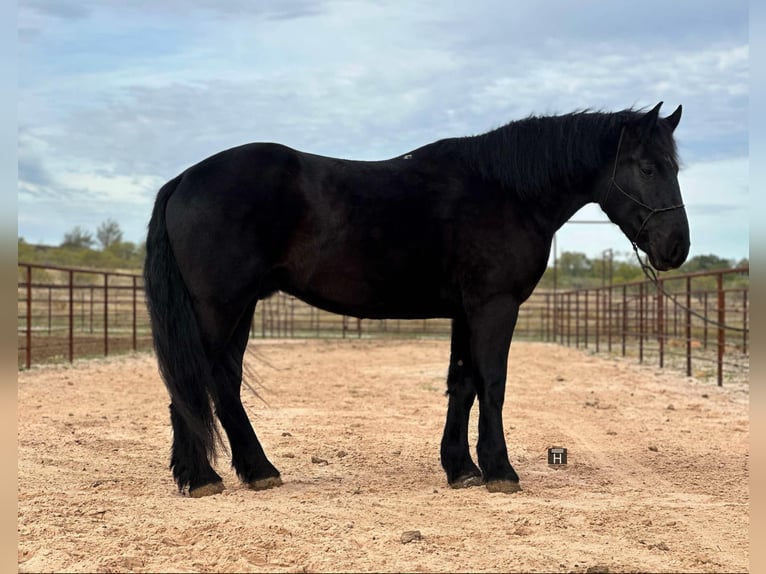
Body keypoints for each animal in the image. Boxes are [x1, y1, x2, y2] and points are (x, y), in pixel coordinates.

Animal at [144, 102, 689, 497]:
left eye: (674, 167)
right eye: (646, 168)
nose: (676, 248)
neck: (507, 191)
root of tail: (184, 179)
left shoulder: (467, 311)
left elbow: (462, 384)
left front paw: (462, 469)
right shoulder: (494, 306)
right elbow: (492, 383)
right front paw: (500, 471)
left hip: (240, 309)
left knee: (222, 384)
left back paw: (255, 471)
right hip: (218, 308)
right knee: (191, 384)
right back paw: (201, 478)